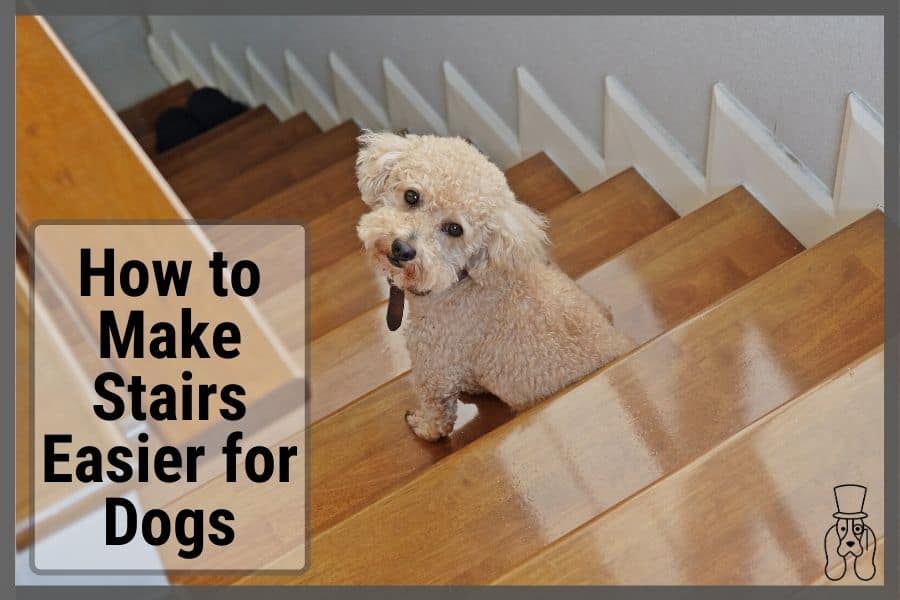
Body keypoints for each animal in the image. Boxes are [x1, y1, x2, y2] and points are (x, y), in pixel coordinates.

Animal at [356, 131, 636, 440]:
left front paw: (424, 428)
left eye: (455, 229)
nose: (402, 249)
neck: (461, 280)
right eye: (411, 196)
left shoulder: (435, 365)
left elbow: (437, 412)